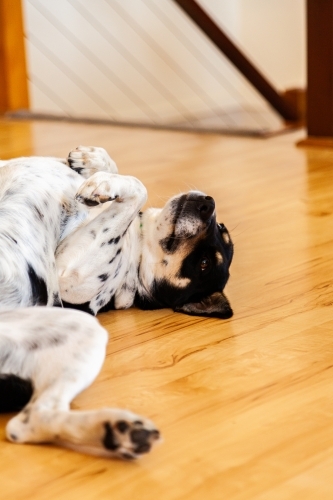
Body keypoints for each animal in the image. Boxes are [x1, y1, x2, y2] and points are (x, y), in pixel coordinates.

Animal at [0, 144, 233, 458]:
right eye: (222, 227)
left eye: (205, 264)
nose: (209, 203)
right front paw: (93, 162)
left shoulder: (68, 275)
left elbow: (138, 186)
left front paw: (102, 180)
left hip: (85, 330)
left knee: (31, 421)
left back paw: (119, 432)